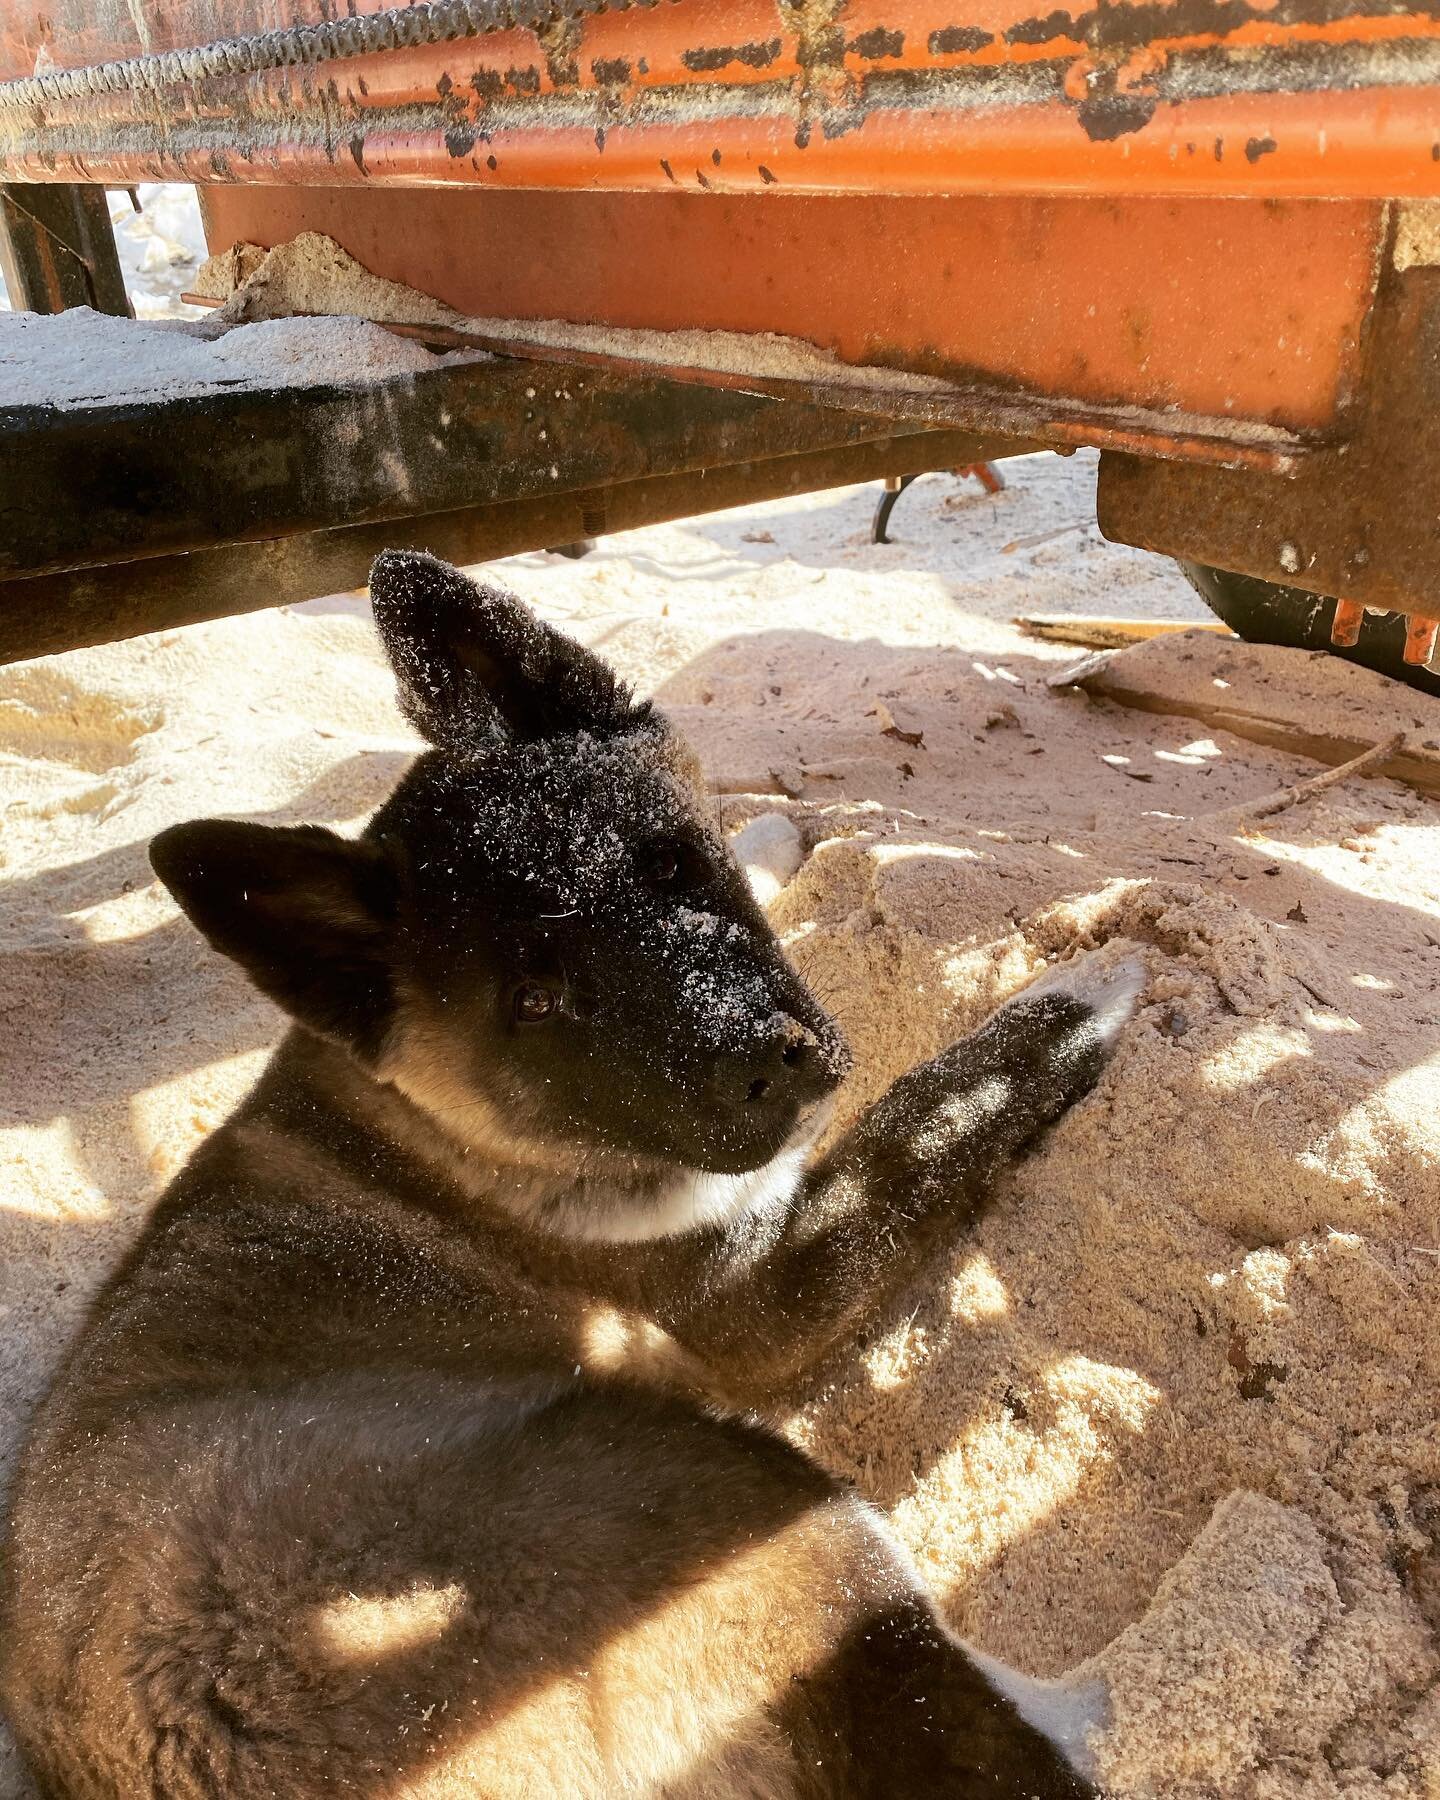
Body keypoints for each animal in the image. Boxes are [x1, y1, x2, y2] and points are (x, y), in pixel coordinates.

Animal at [2, 550, 1144, 1800]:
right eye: (540, 1003)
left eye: (673, 865)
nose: (768, 1064)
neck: (439, 1129)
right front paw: (1080, 995)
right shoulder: (769, 1286)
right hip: (747, 1495)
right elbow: (931, 1120)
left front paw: (777, 837)